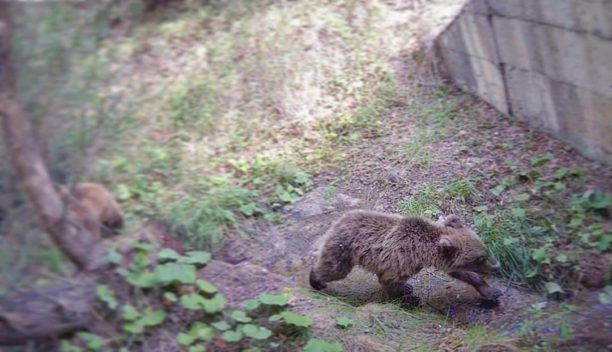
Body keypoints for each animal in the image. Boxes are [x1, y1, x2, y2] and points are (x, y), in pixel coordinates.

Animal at [308, 210, 504, 306]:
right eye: (480, 258)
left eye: (486, 251)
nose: (497, 267)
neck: (423, 251)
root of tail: (338, 220)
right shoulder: (400, 259)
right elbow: (389, 281)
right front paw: (409, 293)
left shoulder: (444, 262)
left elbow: (462, 273)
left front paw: (491, 292)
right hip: (344, 249)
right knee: (334, 269)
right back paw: (316, 281)